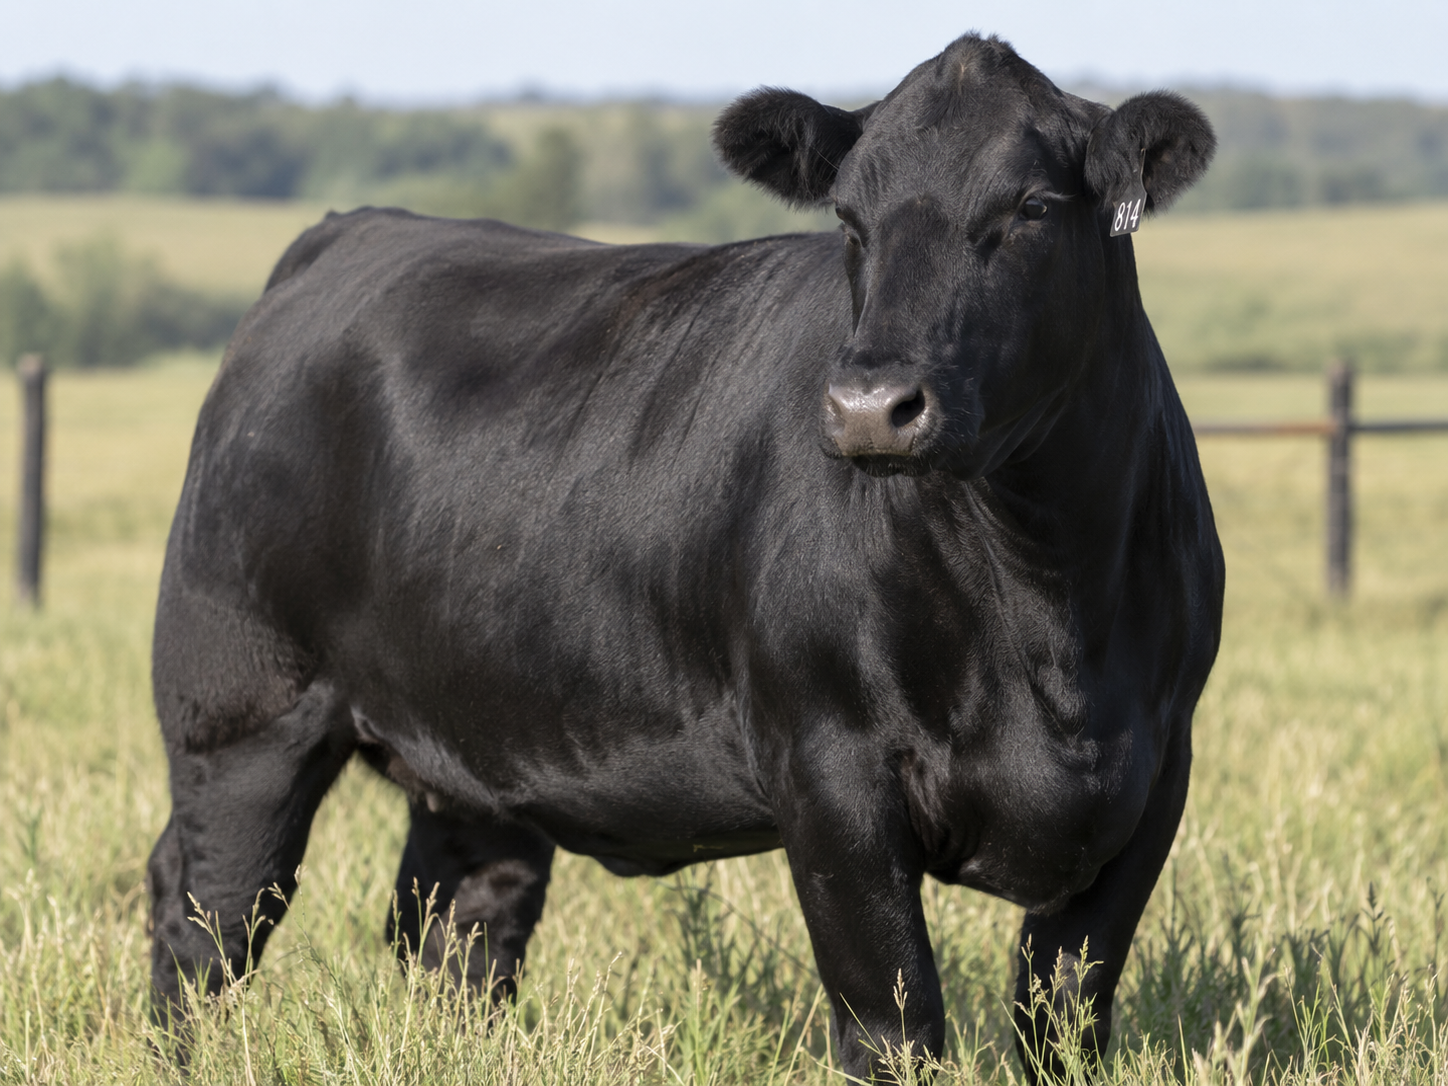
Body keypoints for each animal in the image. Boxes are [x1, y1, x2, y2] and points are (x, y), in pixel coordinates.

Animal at [146, 32, 1222, 1081]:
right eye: (850, 218)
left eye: (1032, 206)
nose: (870, 406)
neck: (1047, 605)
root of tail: (349, 232)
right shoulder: (829, 775)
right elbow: (893, 1026)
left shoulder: (1153, 775)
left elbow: (1065, 1020)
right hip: (240, 712)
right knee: (203, 915)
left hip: (473, 747)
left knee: (456, 927)